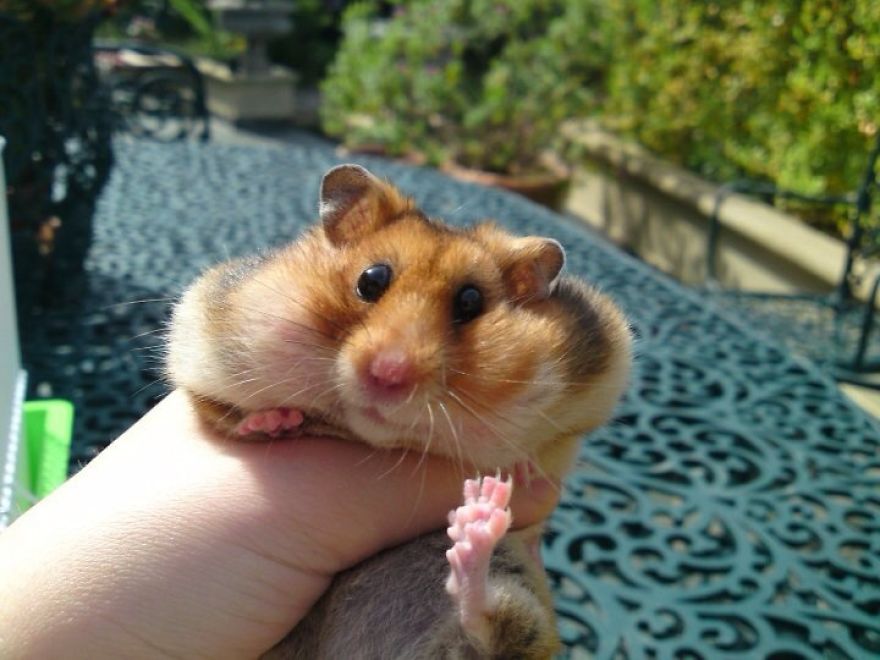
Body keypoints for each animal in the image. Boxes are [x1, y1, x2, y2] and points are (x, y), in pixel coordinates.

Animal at [166, 164, 632, 659]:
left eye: (471, 302)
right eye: (371, 280)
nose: (388, 375)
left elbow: (557, 442)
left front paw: (522, 472)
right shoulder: (196, 338)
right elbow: (220, 411)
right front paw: (276, 421)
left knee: (491, 630)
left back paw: (477, 527)